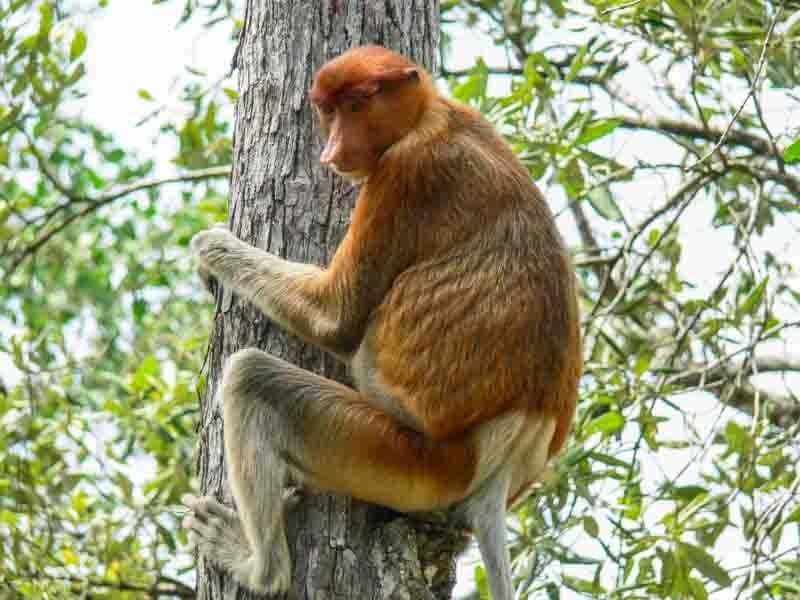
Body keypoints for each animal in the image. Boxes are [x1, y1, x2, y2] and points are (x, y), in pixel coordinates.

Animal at [183, 45, 581, 600]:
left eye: (357, 105)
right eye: (328, 110)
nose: (332, 151)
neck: (431, 116)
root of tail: (507, 456)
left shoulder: (405, 176)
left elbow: (336, 318)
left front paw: (209, 247)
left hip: (404, 460)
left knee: (251, 379)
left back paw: (256, 565)